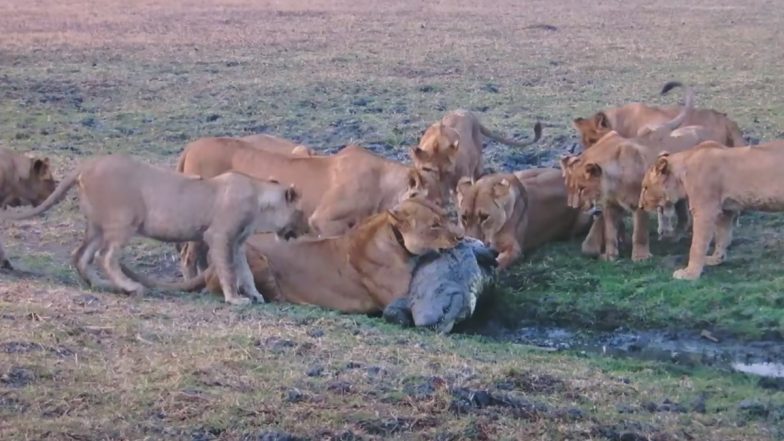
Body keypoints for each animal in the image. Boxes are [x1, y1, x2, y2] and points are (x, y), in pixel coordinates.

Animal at [1, 154, 307, 305]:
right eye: (301, 211)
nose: (305, 228)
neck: (258, 197)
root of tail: (86, 166)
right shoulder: (219, 236)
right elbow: (228, 272)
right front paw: (235, 300)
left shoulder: (239, 243)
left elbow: (245, 272)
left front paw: (255, 295)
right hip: (124, 220)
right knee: (106, 257)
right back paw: (131, 287)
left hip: (97, 226)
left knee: (81, 255)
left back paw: (102, 286)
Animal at [175, 198, 463, 313]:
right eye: (434, 225)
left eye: (446, 216)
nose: (460, 236)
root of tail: (210, 269)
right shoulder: (396, 298)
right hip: (254, 258)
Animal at [560, 86, 723, 261]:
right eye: (569, 187)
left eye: (582, 188)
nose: (573, 207)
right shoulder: (610, 205)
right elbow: (610, 233)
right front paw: (610, 255)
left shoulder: (640, 204)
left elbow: (639, 233)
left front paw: (640, 256)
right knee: (683, 216)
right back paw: (673, 237)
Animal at [639, 140, 784, 280]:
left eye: (645, 187)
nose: (640, 206)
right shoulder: (726, 211)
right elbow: (722, 236)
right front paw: (716, 259)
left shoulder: (704, 211)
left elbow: (697, 245)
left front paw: (690, 273)